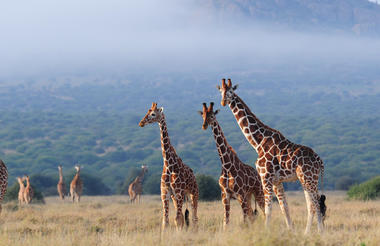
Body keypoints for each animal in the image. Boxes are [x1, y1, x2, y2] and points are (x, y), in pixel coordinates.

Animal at [139, 102, 199, 231]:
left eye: (153, 114)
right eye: (147, 111)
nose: (141, 123)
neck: (169, 165)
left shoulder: (179, 192)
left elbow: (177, 219)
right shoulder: (165, 193)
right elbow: (166, 220)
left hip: (193, 193)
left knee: (194, 217)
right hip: (176, 197)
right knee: (184, 217)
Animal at [218, 78, 326, 233]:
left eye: (231, 90)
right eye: (221, 90)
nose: (223, 102)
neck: (258, 142)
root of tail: (320, 160)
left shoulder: (265, 177)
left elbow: (268, 209)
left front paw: (266, 231)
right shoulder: (277, 181)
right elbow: (284, 207)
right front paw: (290, 231)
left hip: (309, 178)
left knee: (316, 203)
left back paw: (319, 232)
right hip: (307, 179)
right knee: (311, 205)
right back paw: (307, 233)